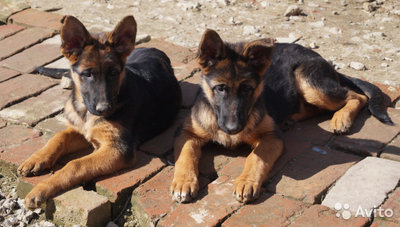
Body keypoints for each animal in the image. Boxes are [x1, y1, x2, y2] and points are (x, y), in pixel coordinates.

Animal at [18, 15, 181, 208]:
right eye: (87, 74)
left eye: (114, 73)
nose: (105, 109)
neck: (85, 112)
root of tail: (153, 48)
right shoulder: (78, 129)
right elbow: (58, 137)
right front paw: (36, 159)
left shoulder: (118, 148)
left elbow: (75, 164)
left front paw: (41, 189)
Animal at [170, 29, 392, 203]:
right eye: (220, 88)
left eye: (247, 89)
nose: (233, 129)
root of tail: (321, 58)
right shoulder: (187, 133)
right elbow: (185, 155)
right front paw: (183, 182)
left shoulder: (271, 137)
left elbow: (256, 158)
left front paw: (246, 181)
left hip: (308, 81)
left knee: (357, 96)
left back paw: (341, 118)